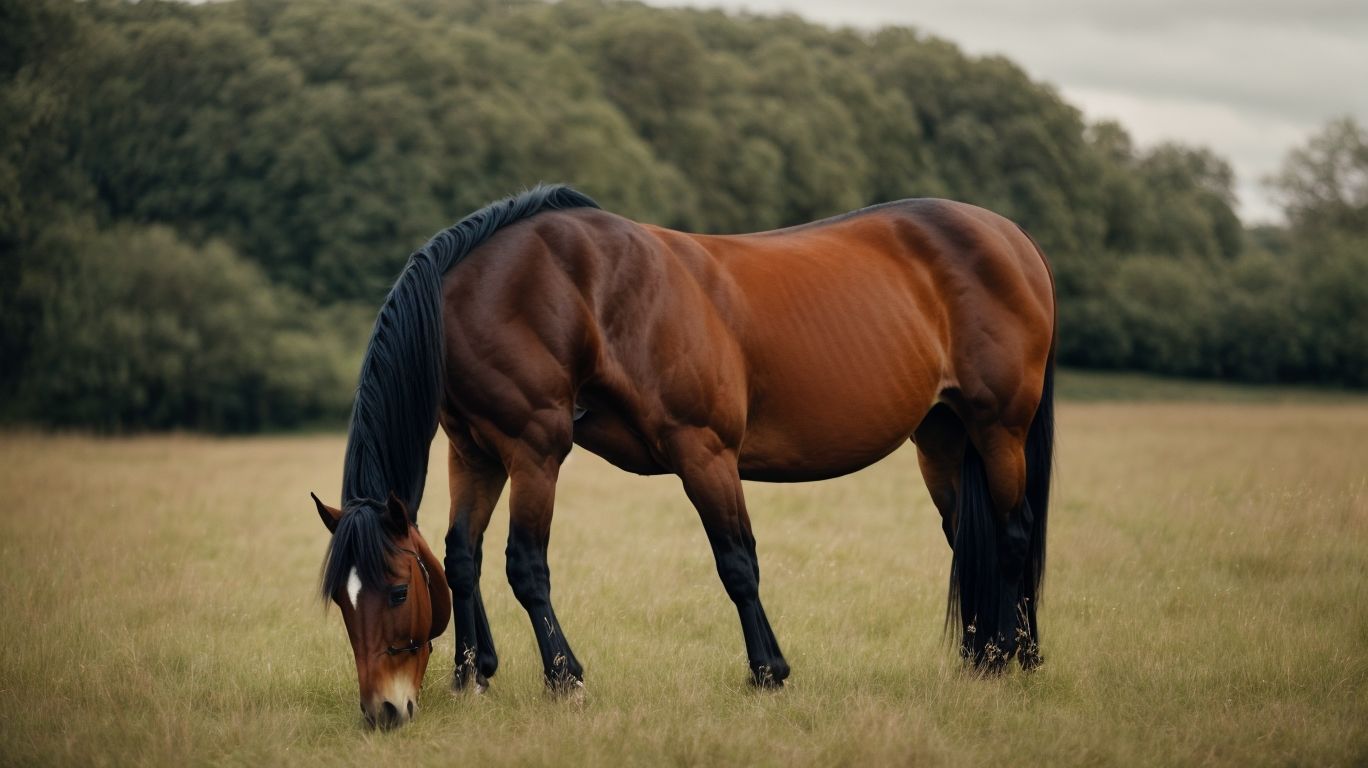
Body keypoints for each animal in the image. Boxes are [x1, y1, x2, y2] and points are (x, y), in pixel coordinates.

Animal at [312, 185, 1055, 727]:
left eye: (396, 590)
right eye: (343, 602)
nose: (384, 710)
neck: (534, 287)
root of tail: (1013, 239)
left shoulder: (605, 450)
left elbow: (720, 564)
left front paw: (759, 672)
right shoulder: (477, 452)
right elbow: (462, 556)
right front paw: (473, 676)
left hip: (1000, 428)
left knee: (1013, 534)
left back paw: (1015, 657)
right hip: (941, 436)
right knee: (966, 537)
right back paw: (977, 660)